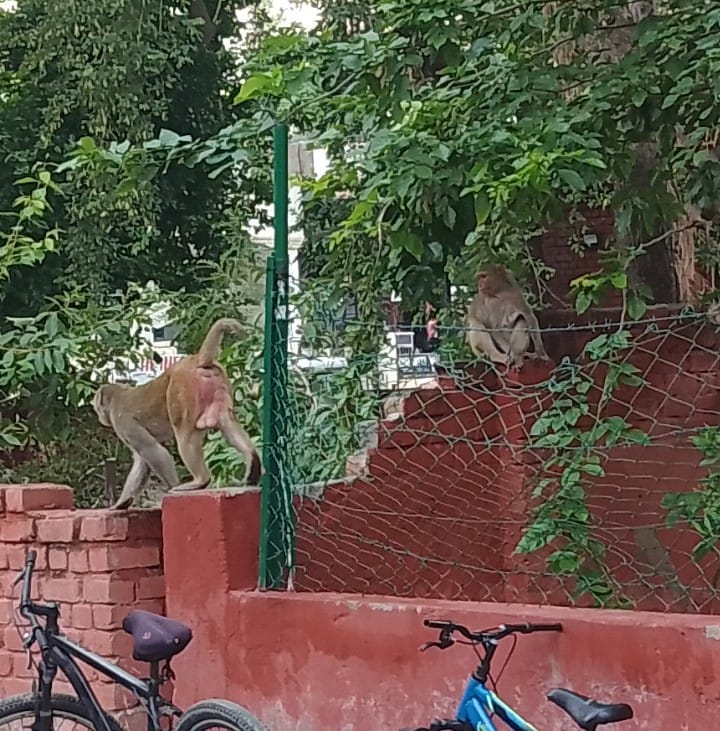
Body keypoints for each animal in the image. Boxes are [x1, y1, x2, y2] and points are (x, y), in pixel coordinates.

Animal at [92, 318, 262, 510]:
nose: (99, 415)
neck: (117, 397)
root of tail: (197, 360)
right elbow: (142, 462)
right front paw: (121, 503)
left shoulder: (122, 422)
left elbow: (153, 451)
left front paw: (172, 487)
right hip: (220, 389)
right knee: (228, 424)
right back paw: (253, 463)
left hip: (182, 389)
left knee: (184, 435)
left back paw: (199, 481)